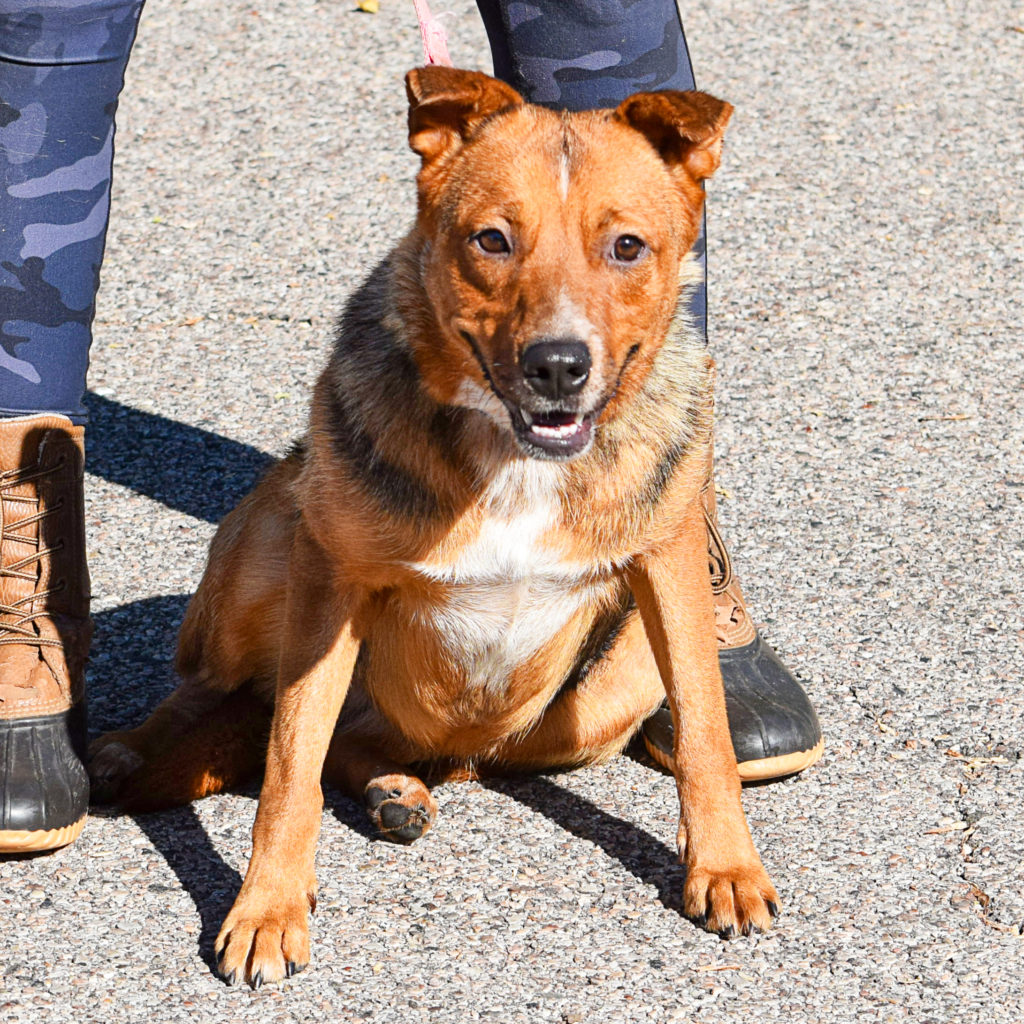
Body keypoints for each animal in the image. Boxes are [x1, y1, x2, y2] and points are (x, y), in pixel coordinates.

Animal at [92, 68, 778, 987]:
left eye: (628, 247)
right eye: (492, 239)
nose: (558, 366)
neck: (518, 457)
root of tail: (453, 752)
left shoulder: (667, 563)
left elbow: (706, 734)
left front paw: (727, 868)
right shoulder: (328, 577)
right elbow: (288, 768)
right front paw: (266, 909)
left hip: (609, 686)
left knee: (363, 745)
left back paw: (395, 789)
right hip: (274, 524)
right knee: (224, 703)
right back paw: (137, 755)